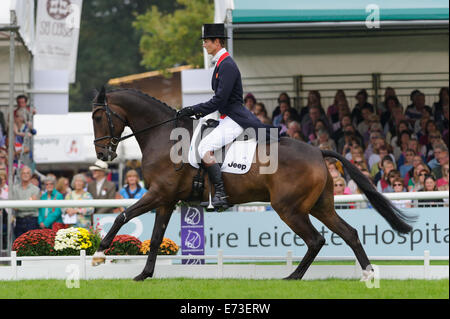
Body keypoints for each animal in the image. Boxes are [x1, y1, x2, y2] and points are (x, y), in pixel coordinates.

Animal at [89, 87, 416, 282]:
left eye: (98, 117)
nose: (103, 155)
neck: (165, 137)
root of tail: (317, 151)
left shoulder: (158, 194)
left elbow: (122, 216)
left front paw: (100, 252)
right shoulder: (166, 200)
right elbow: (156, 237)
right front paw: (144, 275)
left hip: (289, 208)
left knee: (315, 240)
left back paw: (293, 278)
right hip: (320, 206)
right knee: (348, 233)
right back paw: (368, 274)